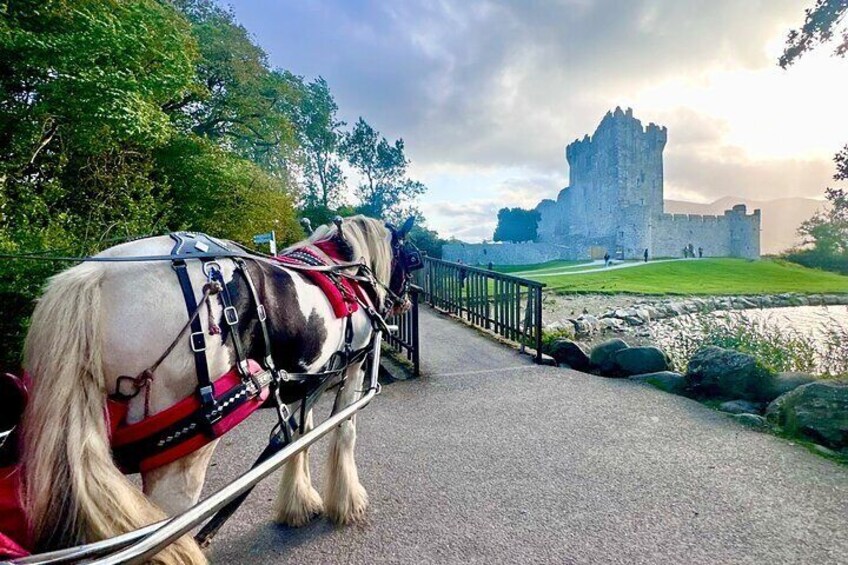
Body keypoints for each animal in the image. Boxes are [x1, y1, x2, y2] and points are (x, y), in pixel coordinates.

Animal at [19, 214, 418, 560]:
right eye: (410, 258)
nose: (404, 300)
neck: (346, 274)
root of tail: (97, 275)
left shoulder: (307, 380)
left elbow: (296, 437)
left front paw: (298, 503)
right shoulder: (352, 368)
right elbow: (343, 433)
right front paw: (347, 502)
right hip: (183, 454)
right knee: (162, 534)